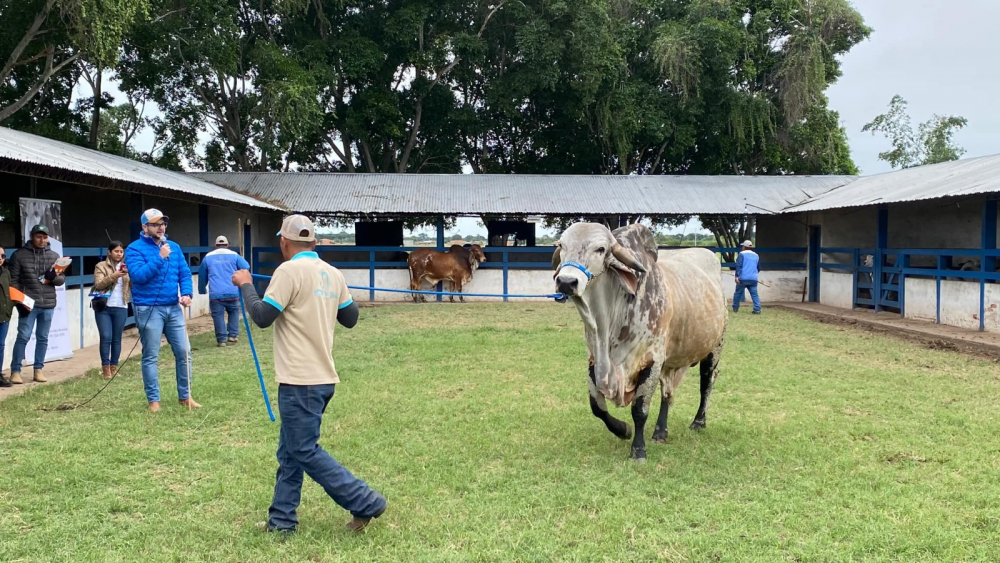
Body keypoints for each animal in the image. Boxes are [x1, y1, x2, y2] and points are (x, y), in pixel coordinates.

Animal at [556, 223, 728, 460]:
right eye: (561, 245)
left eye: (600, 249)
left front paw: (638, 450)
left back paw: (698, 422)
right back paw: (661, 431)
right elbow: (597, 407)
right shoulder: (593, 359)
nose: (566, 282)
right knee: (668, 393)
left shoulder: (651, 360)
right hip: (670, 361)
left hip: (714, 348)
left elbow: (639, 410)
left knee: (707, 383)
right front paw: (622, 430)